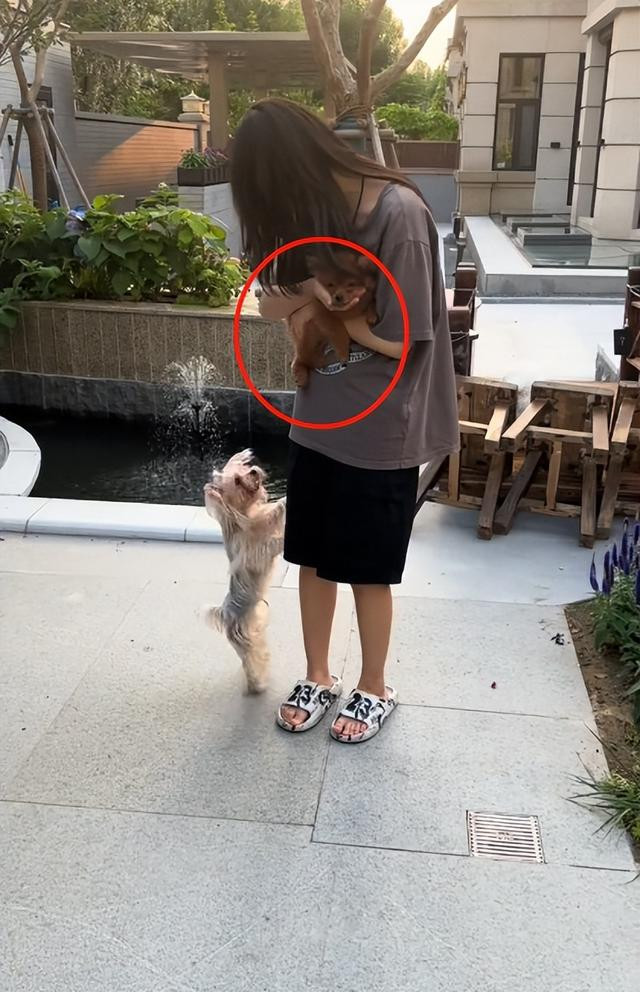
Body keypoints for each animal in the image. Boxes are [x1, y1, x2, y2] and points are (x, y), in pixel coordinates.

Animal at [203, 450, 285, 693]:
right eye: (237, 481)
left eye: (243, 470)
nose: (254, 471)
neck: (245, 513)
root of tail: (224, 613)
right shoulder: (257, 551)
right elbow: (271, 539)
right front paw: (285, 504)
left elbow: (271, 515)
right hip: (246, 642)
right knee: (251, 662)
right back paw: (257, 685)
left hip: (255, 632)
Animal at [289, 249, 378, 387]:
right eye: (331, 284)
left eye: (351, 284)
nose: (338, 296)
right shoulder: (323, 313)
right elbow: (339, 332)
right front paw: (343, 353)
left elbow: (372, 300)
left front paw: (372, 314)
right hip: (306, 337)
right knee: (301, 358)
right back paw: (303, 370)